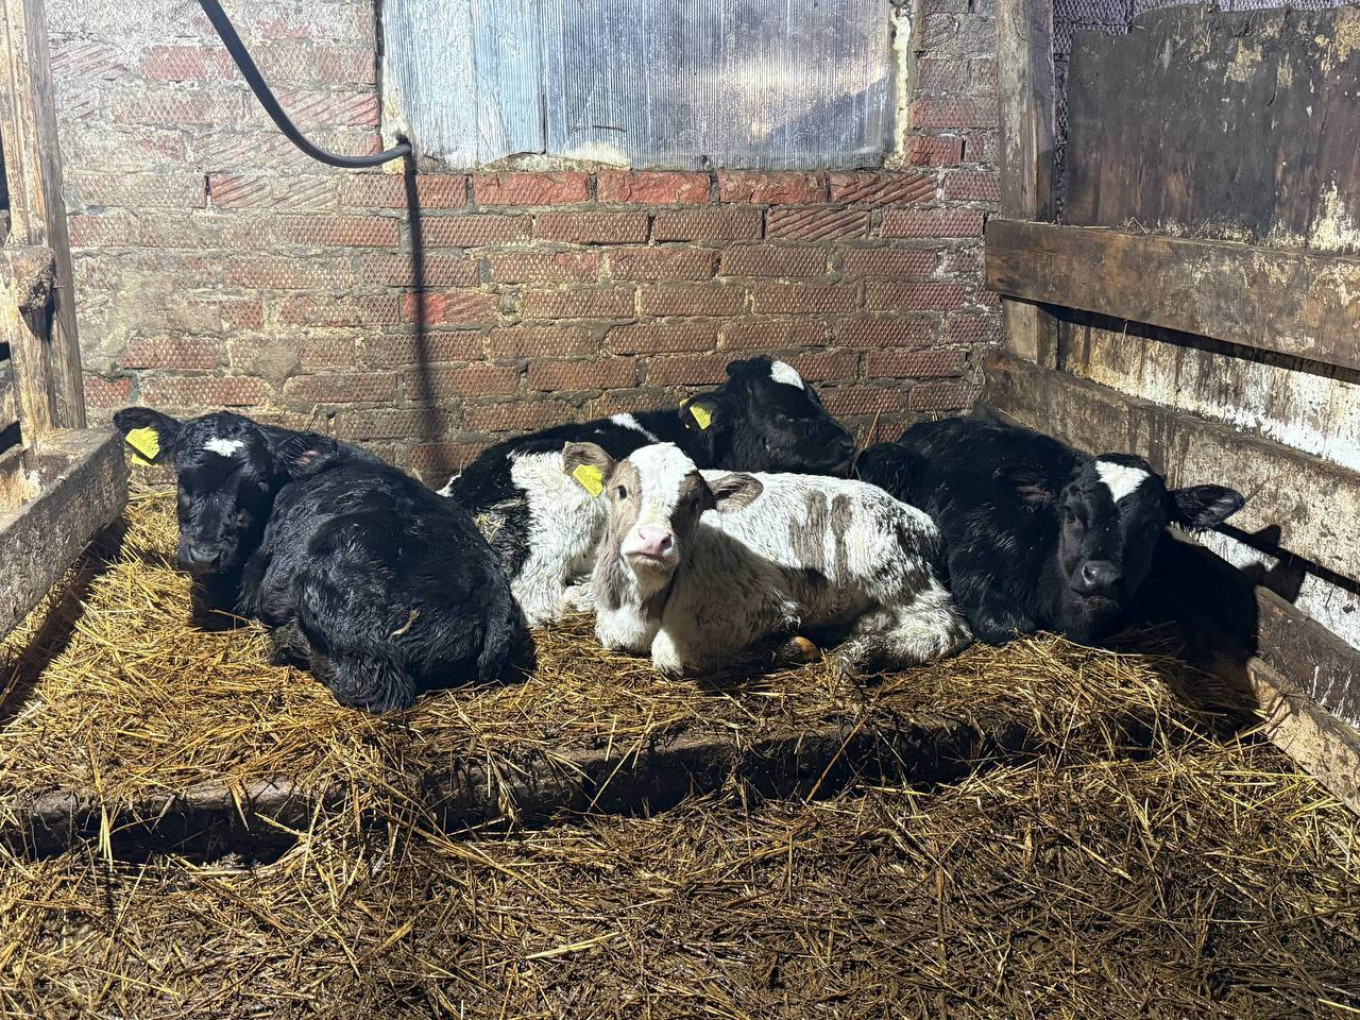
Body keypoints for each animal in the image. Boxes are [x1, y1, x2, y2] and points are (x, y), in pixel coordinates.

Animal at [113, 407, 528, 713]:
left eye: (258, 484)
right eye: (183, 476)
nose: (204, 554)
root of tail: (492, 599)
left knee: (372, 685)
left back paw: (286, 641)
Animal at [443, 356, 857, 628]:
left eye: (817, 400)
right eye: (785, 414)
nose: (850, 441)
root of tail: (464, 493)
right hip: (560, 522)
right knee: (539, 597)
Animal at [561, 441, 972, 677]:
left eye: (695, 503)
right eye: (621, 490)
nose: (654, 540)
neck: (643, 604)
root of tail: (916, 516)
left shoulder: (763, 604)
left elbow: (669, 655)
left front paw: (791, 646)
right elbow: (611, 634)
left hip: (889, 566)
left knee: (947, 628)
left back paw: (858, 655)